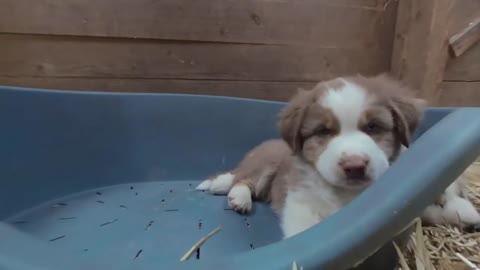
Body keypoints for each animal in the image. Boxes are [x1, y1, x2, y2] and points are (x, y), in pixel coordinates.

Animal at [196, 74, 480, 238]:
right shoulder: (302, 205)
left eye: (373, 127)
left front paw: (465, 213)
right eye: (324, 131)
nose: (355, 165)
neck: (347, 194)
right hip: (265, 165)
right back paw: (239, 198)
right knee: (242, 180)